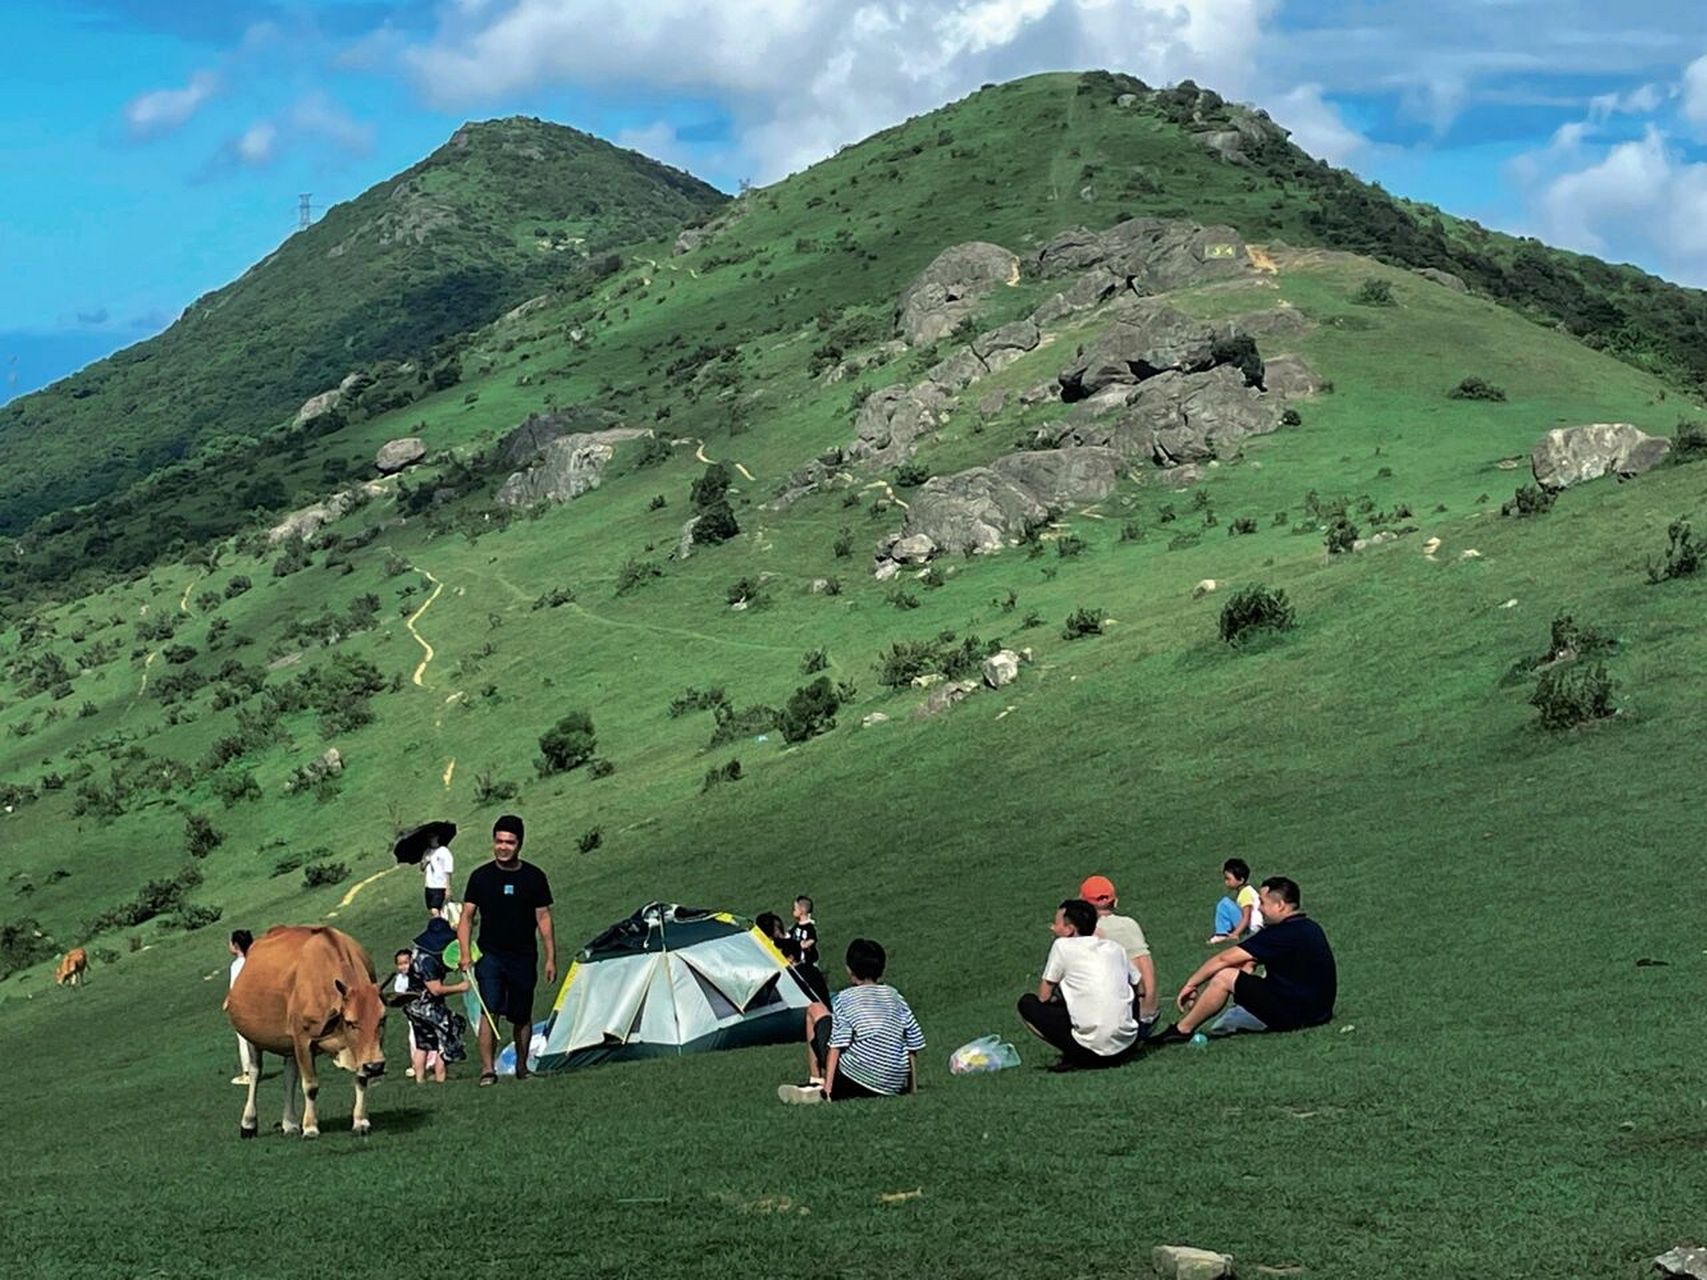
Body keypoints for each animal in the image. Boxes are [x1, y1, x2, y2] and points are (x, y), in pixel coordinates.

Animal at [223, 921, 387, 1140]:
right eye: (351, 1022)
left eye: (382, 1019)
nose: (376, 1067)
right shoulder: (303, 1039)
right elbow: (310, 1085)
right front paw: (310, 1127)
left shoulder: (365, 1049)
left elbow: (361, 1078)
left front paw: (360, 1121)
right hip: (253, 1038)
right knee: (256, 1074)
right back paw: (249, 1123)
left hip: (288, 1042)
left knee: (289, 1077)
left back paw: (290, 1123)